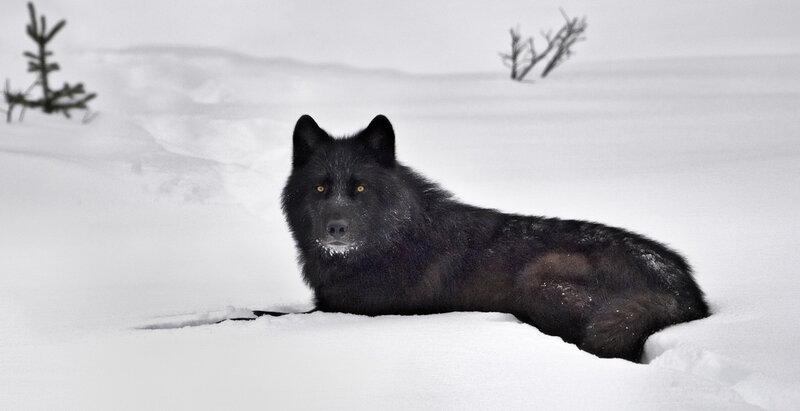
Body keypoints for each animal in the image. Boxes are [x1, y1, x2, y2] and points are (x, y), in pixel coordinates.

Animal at [280, 114, 709, 362]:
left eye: (360, 188)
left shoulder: (346, 311)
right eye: (320, 189)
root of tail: (684, 291)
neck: (390, 241)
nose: (336, 228)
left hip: (540, 279)